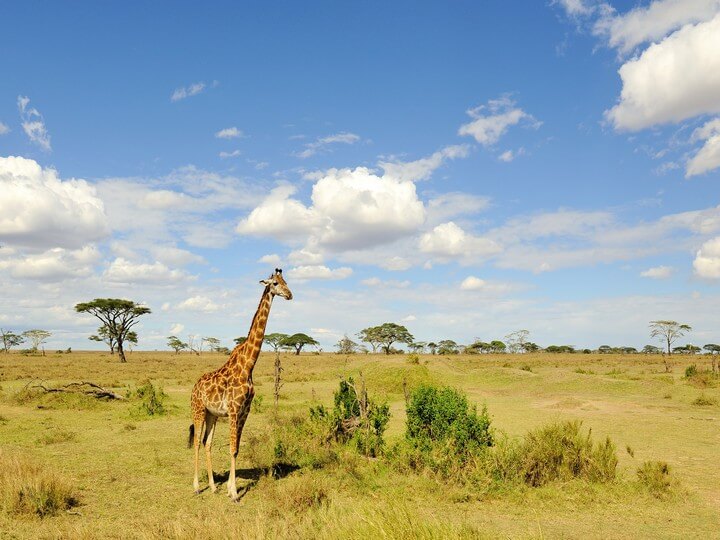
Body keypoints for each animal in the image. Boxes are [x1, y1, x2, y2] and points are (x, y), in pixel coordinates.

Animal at [188, 268, 292, 501]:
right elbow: (232, 448)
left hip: (212, 414)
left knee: (207, 443)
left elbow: (236, 448)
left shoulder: (245, 410)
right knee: (197, 443)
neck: (248, 366)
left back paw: (213, 486)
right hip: (198, 410)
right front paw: (235, 492)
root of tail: (195, 386)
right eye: (275, 283)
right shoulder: (235, 410)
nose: (290, 295)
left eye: (286, 281)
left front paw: (228, 488)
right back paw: (197, 486)